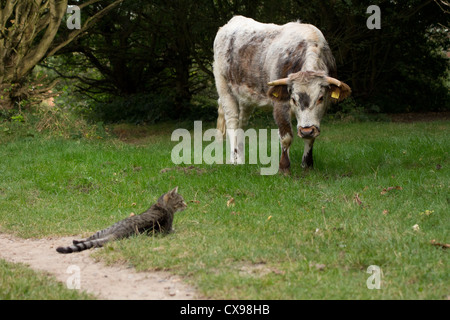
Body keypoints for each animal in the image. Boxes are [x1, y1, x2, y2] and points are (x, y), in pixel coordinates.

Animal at [56, 186, 186, 254]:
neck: (163, 205)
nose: (186, 205)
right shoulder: (170, 229)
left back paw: (76, 241)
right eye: (181, 201)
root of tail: (120, 232)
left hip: (107, 229)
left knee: (89, 239)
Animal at [214, 15, 352, 172]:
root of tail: (232, 22)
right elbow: (286, 136)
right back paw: (235, 160)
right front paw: (284, 167)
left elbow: (311, 138)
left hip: (245, 96)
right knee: (232, 121)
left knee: (241, 123)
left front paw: (307, 165)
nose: (306, 131)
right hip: (224, 87)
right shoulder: (280, 105)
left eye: (321, 98)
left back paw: (242, 158)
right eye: (293, 99)